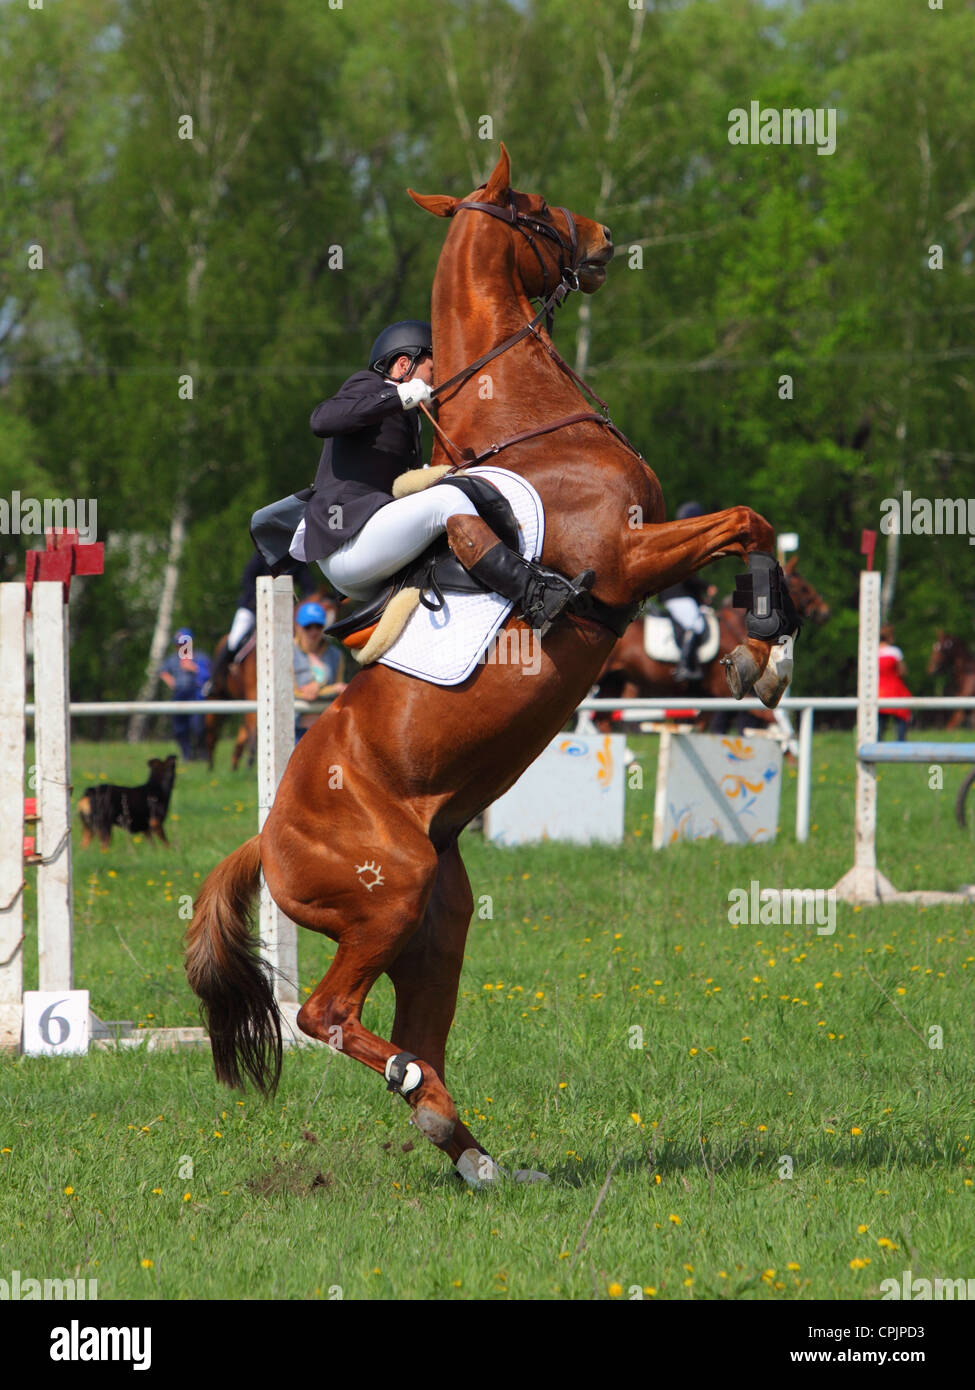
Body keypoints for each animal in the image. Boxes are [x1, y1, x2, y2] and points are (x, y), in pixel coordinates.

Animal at [184, 143, 801, 1184]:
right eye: (538, 206)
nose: (602, 240)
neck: (529, 412)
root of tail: (265, 841)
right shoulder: (626, 558)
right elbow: (746, 520)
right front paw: (764, 649)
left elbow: (745, 526)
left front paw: (762, 651)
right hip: (387, 891)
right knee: (330, 1016)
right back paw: (419, 1096)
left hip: (438, 920)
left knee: (417, 1031)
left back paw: (470, 1152)